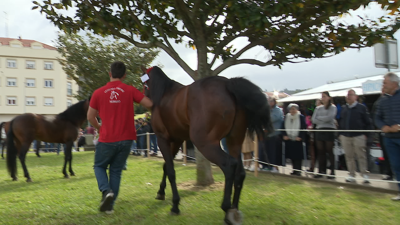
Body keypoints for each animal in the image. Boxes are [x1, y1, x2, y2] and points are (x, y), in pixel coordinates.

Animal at [140, 66, 272, 224]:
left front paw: (175, 206)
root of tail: (227, 84)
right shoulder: (177, 140)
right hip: (234, 141)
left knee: (229, 165)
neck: (164, 94)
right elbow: (166, 166)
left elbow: (171, 171)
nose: (144, 98)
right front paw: (160, 192)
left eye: (144, 84)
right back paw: (235, 210)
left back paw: (226, 209)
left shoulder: (162, 139)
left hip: (205, 143)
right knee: (240, 172)